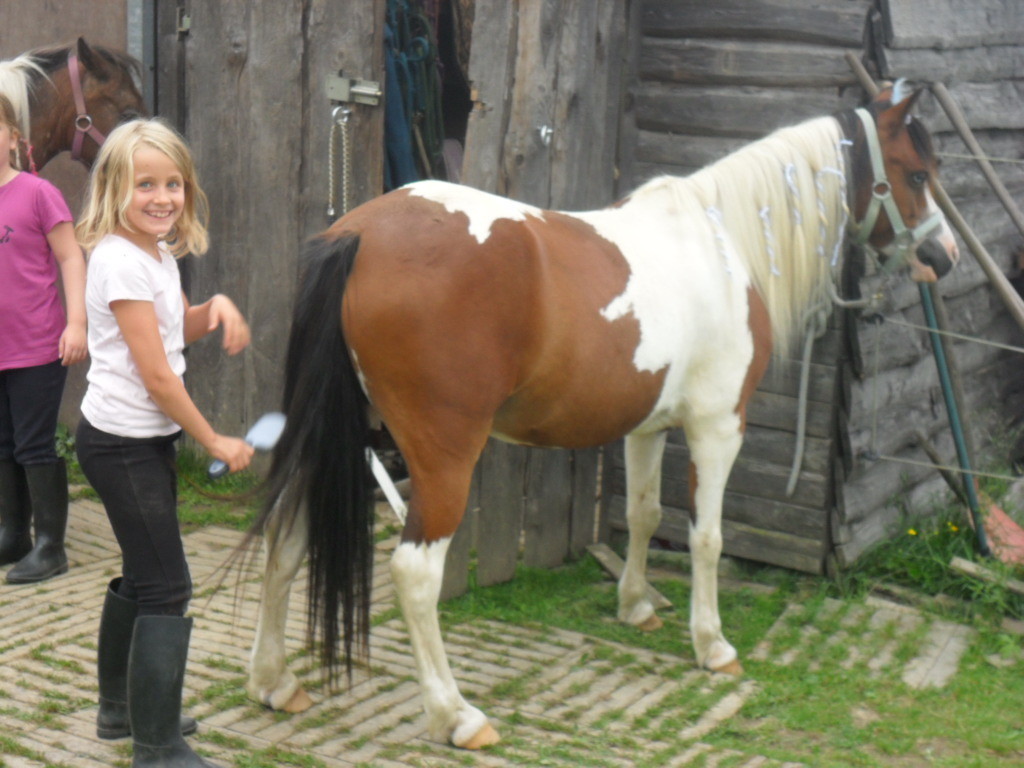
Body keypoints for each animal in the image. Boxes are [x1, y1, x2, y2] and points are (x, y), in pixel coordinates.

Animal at [245, 82, 959, 749]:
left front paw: (636, 604)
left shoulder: (646, 426)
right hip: (442, 457)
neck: (722, 242)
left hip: (338, 436)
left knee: (286, 536)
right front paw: (712, 644)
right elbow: (706, 536)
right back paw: (457, 715)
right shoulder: (717, 426)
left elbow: (644, 514)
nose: (944, 257)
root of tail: (358, 234)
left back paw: (275, 681)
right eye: (916, 174)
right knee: (414, 575)